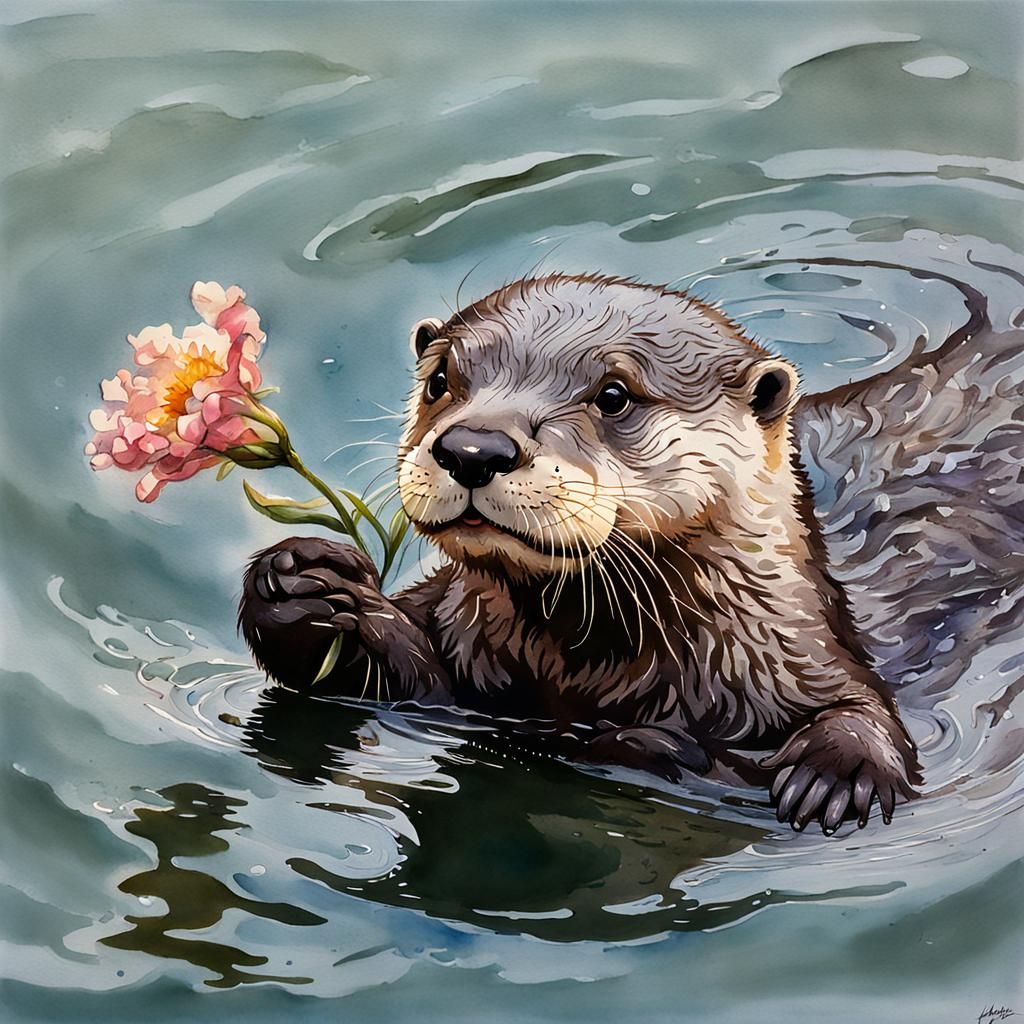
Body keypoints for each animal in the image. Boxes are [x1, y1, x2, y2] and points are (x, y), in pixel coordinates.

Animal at [239, 274, 921, 834]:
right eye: (440, 380)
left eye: (614, 395)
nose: (473, 447)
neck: (590, 666)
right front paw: (301, 584)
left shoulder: (800, 649)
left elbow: (867, 713)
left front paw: (836, 770)